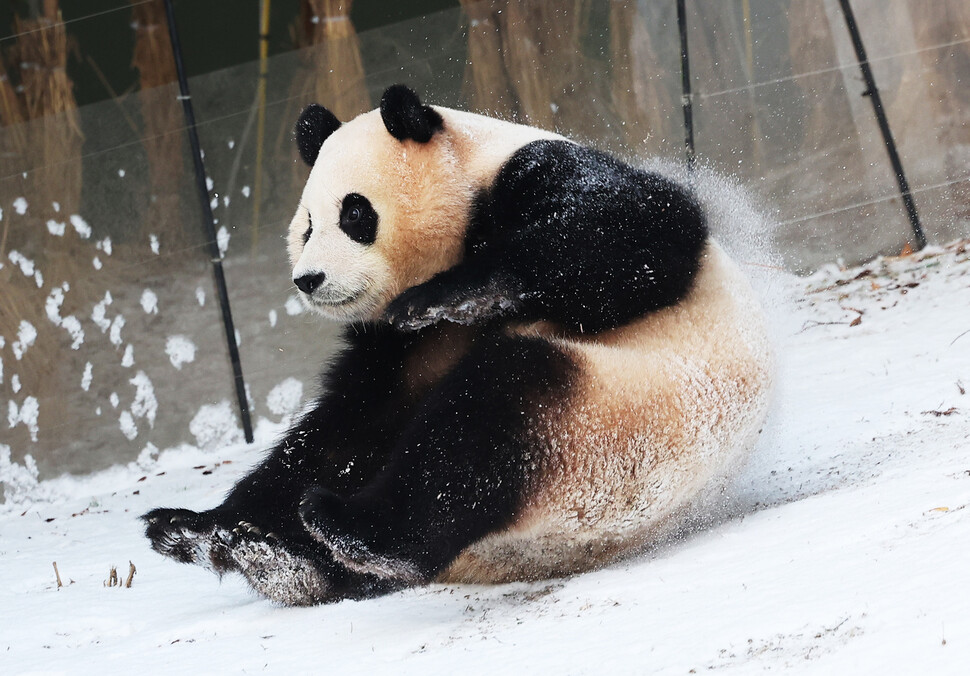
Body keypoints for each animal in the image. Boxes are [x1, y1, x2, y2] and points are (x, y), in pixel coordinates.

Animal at [144, 84, 772, 608]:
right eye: (306, 226)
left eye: (355, 214)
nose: (309, 279)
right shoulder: (396, 351)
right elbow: (344, 425)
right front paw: (211, 526)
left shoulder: (531, 173)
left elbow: (642, 228)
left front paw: (450, 292)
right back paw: (241, 548)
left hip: (619, 423)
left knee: (484, 423)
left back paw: (355, 530)